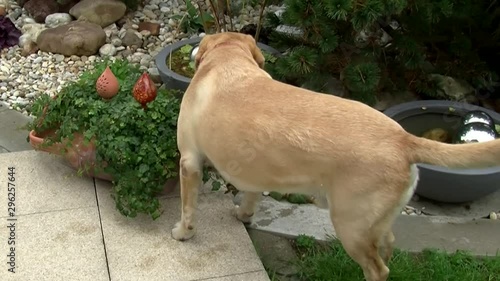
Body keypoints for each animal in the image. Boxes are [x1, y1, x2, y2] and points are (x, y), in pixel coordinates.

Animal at [173, 31, 500, 278]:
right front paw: (244, 215)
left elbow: (188, 209)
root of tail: (403, 138)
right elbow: (251, 197)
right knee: (388, 247)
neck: (228, 59)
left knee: (378, 269)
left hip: (350, 225)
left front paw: (183, 233)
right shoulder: (255, 172)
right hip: (373, 223)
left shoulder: (189, 161)